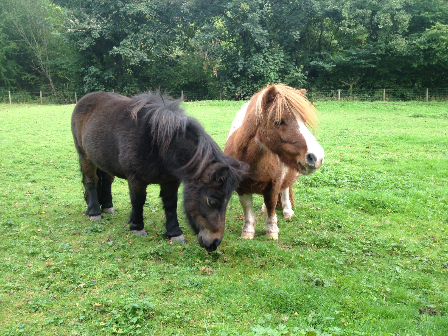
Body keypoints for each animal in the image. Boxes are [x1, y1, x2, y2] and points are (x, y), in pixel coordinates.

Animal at [71, 90, 247, 251]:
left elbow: (170, 205)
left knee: (107, 181)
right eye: (212, 201)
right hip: (85, 156)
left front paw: (174, 233)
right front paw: (137, 227)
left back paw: (107, 207)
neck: (158, 145)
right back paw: (94, 212)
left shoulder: (170, 182)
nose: (214, 243)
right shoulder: (135, 179)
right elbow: (138, 201)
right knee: (90, 182)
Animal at [226, 85, 324, 240]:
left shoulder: (273, 184)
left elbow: (272, 204)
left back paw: (287, 211)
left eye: (304, 121)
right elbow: (247, 207)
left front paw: (271, 232)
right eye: (278, 121)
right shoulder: (241, 187)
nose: (317, 157)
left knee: (285, 190)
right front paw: (248, 231)